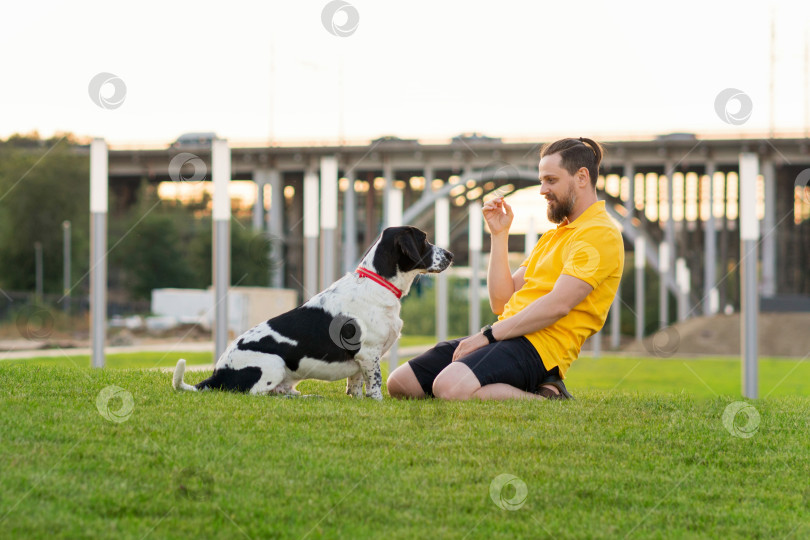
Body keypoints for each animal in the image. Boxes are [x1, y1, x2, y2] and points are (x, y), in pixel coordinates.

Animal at [173, 226, 452, 398]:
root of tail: (217, 374)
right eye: (424, 239)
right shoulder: (369, 353)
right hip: (273, 365)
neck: (377, 283)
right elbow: (374, 387)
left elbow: (356, 386)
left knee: (281, 391)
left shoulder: (361, 362)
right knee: (259, 394)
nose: (450, 254)